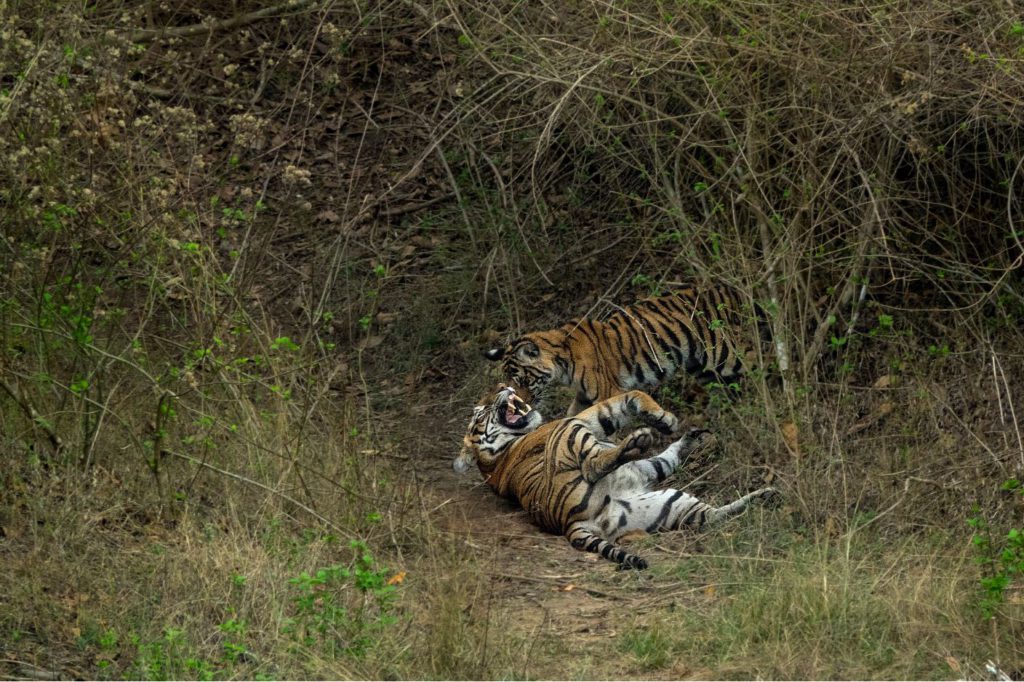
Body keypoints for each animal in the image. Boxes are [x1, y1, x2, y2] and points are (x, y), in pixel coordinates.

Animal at [452, 382, 778, 569]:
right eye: (481, 412)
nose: (503, 386)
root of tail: (569, 524)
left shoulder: (641, 461)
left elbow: (648, 425)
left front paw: (673, 425)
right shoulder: (579, 419)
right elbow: (622, 400)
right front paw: (663, 422)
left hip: (667, 501)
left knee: (710, 517)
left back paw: (765, 497)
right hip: (569, 432)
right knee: (593, 464)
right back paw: (637, 439)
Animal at [483, 280, 765, 413]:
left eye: (523, 380)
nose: (520, 403)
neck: (562, 364)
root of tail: (736, 291)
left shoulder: (608, 392)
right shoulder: (583, 396)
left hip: (727, 353)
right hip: (702, 365)